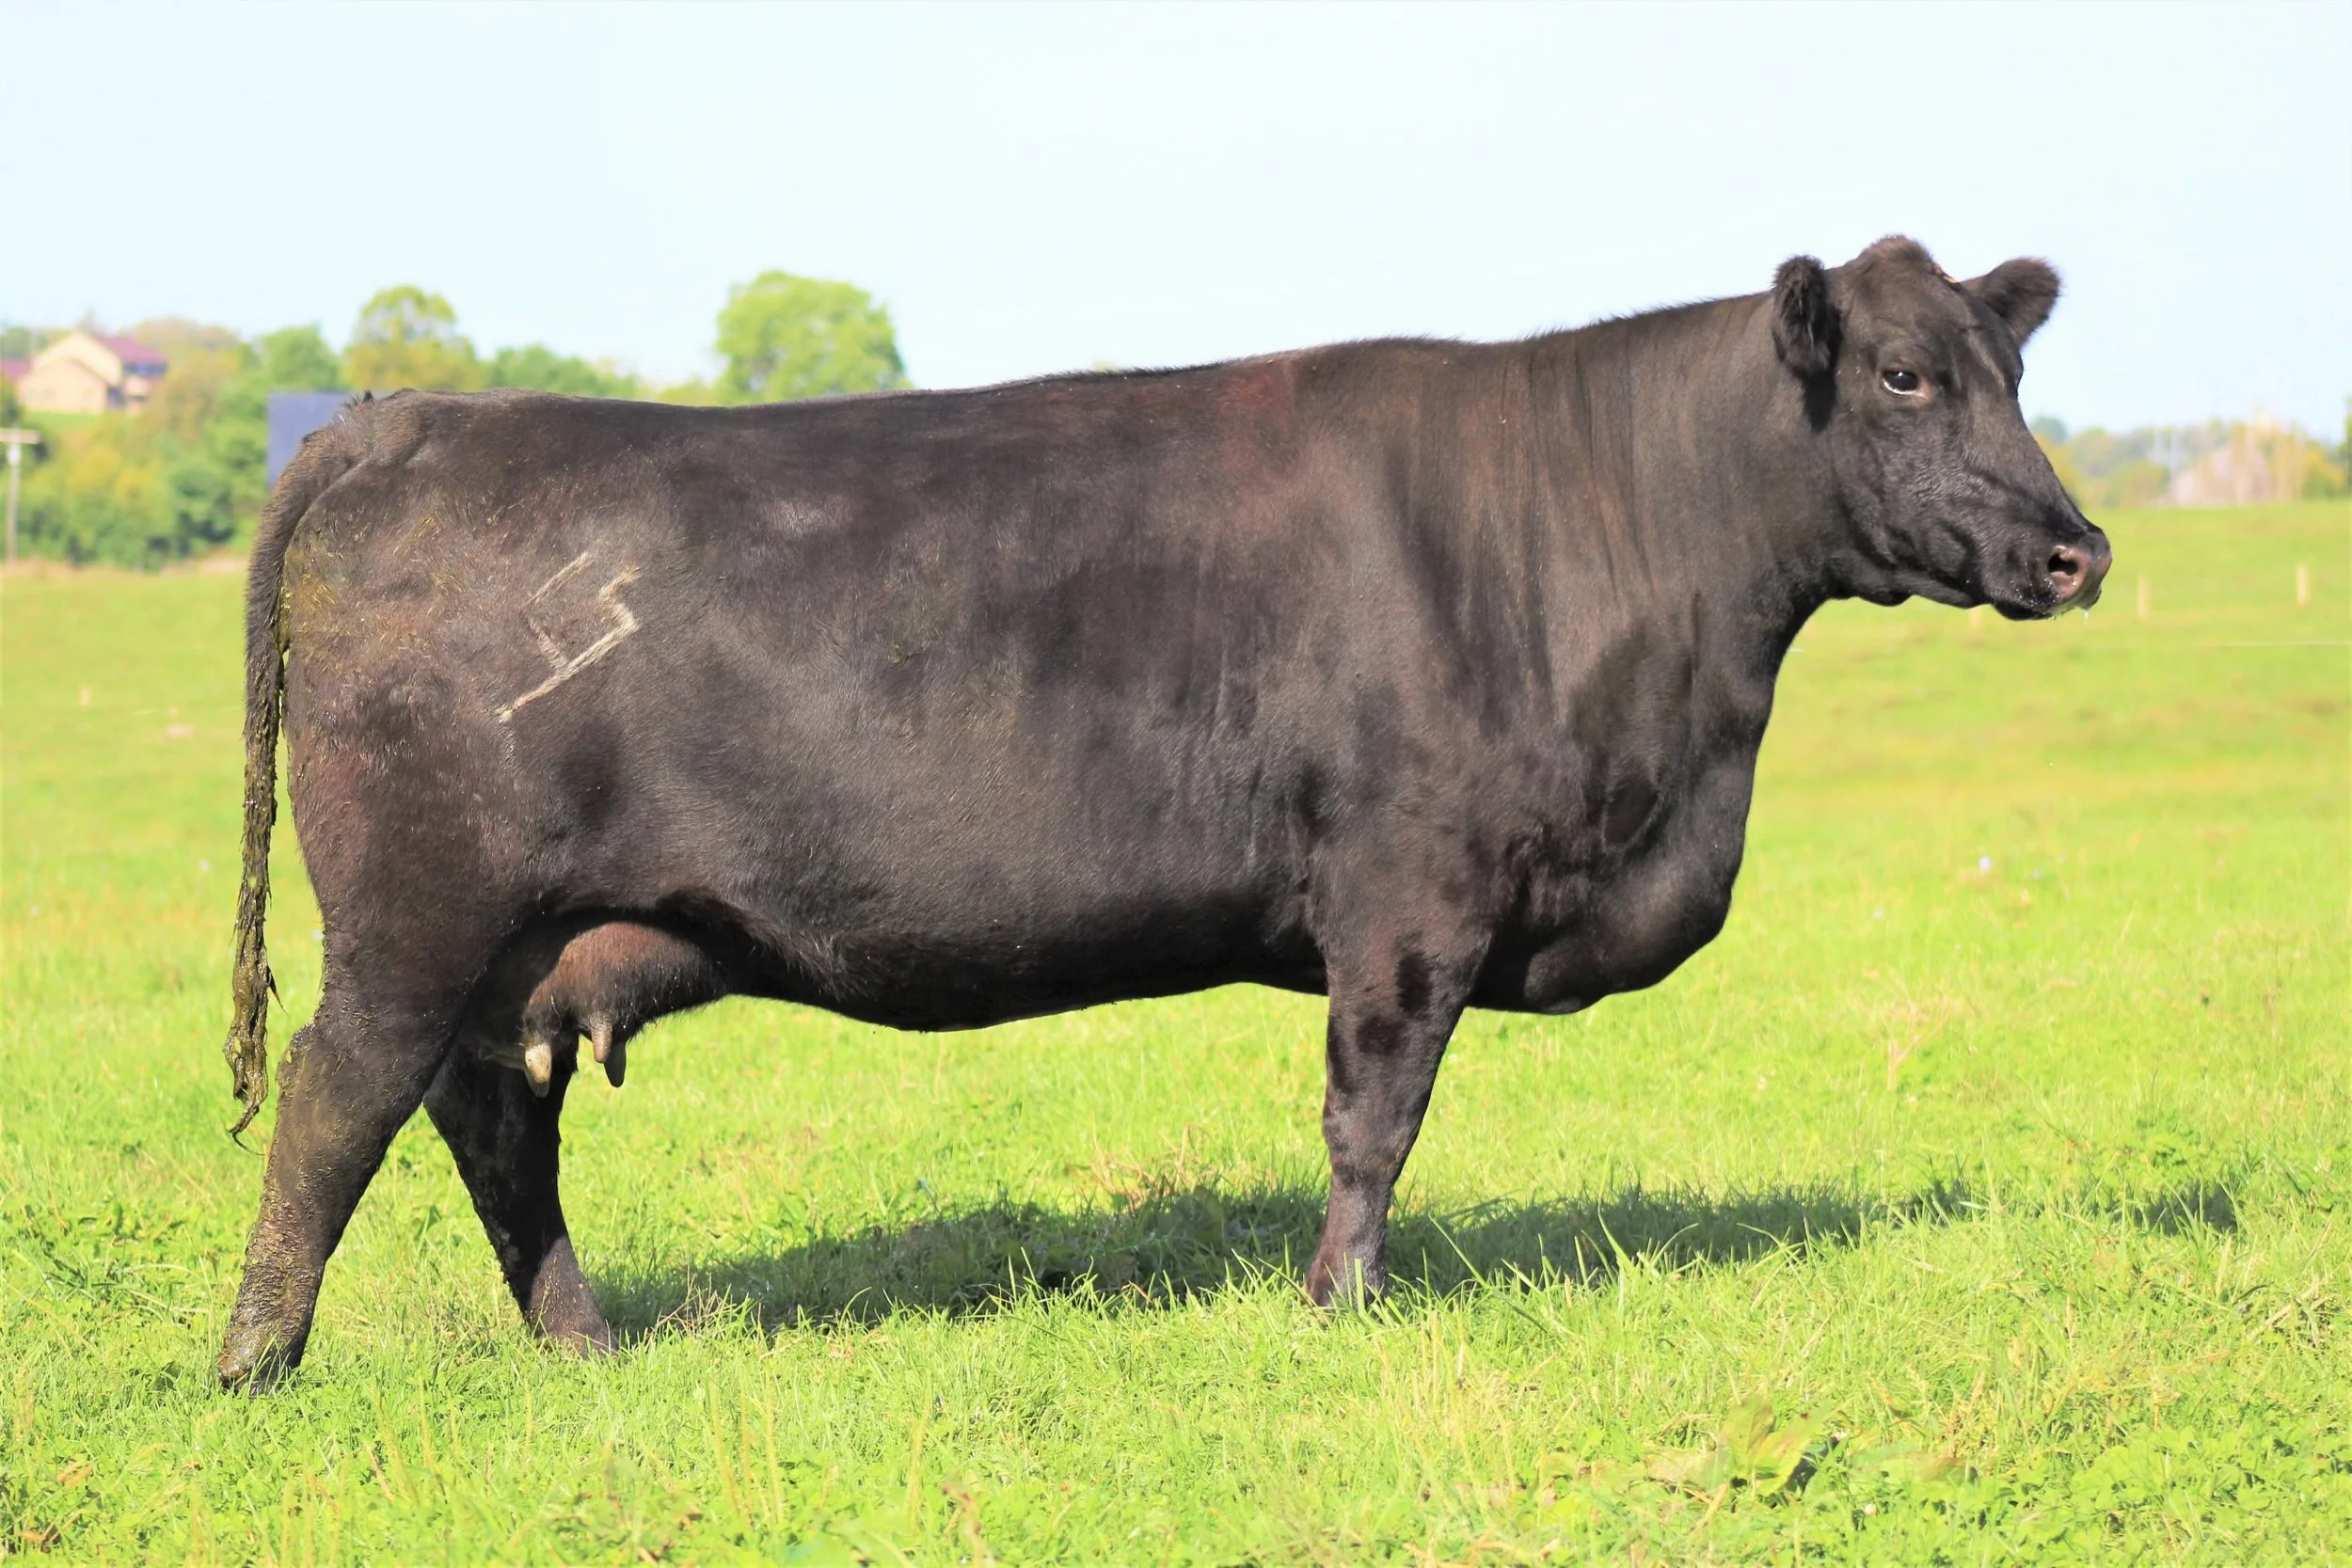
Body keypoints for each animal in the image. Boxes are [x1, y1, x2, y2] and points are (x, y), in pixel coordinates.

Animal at [215, 236, 2108, 1389]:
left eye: (2011, 371)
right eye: (1906, 379)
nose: (2077, 548)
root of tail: (395, 424)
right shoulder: (1405, 898)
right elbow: (1373, 1121)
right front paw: (1339, 1310)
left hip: (514, 952)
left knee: (490, 1125)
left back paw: (583, 1346)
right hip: (412, 922)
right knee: (335, 1106)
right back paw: (252, 1366)